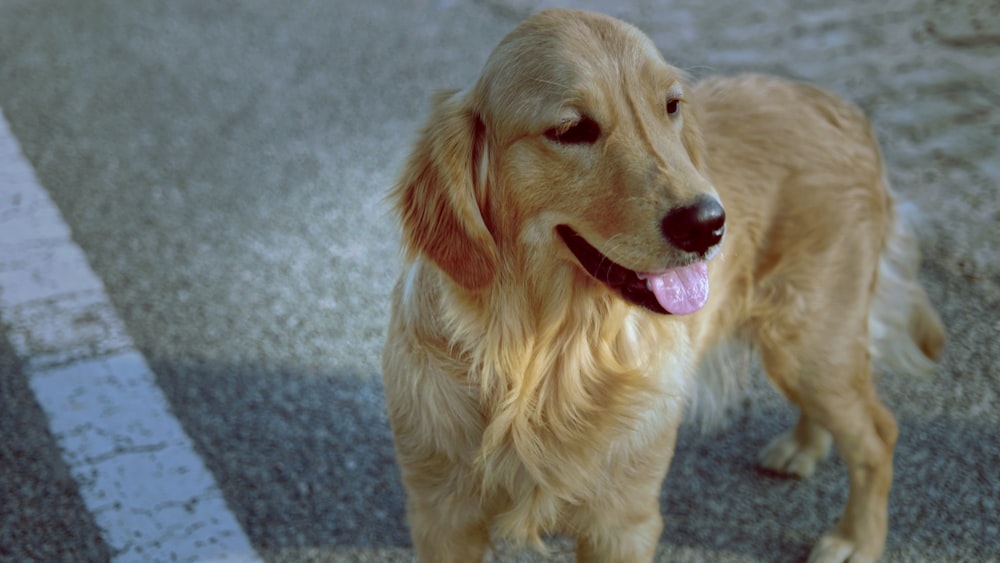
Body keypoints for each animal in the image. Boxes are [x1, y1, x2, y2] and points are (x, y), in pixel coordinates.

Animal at [380, 8, 944, 563]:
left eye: (671, 106)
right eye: (571, 129)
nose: (708, 223)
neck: (546, 356)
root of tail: (843, 108)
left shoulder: (623, 523)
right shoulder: (440, 517)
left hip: (810, 339)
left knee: (878, 434)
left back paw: (856, 540)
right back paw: (804, 447)